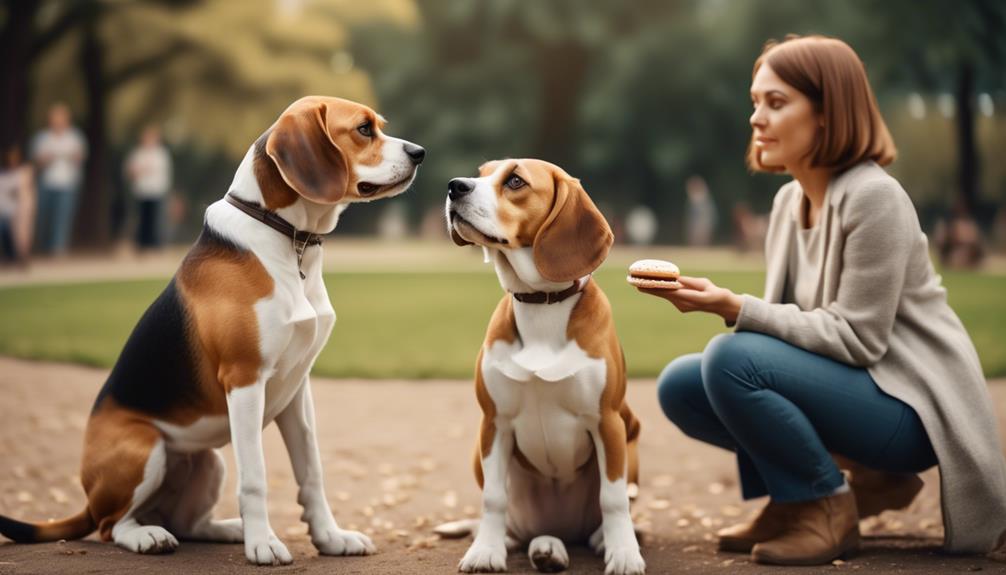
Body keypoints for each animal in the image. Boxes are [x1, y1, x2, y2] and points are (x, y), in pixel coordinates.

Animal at [0, 96, 424, 562]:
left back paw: (227, 529)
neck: (289, 238)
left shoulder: (299, 389)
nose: (419, 153)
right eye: (364, 129)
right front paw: (263, 545)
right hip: (146, 448)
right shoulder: (245, 379)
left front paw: (330, 538)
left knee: (187, 524)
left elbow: (311, 473)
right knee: (113, 526)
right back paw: (150, 536)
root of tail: (89, 497)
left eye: (378, 124)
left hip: (207, 460)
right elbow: (255, 477)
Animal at [442, 159, 643, 570]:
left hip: (631, 437)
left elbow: (613, 499)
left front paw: (624, 554)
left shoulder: (608, 422)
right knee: (527, 529)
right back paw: (542, 547)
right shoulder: (494, 423)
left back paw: (597, 540)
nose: (454, 186)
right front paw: (485, 551)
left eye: (515, 181)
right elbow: (493, 499)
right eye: (480, 173)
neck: (541, 305)